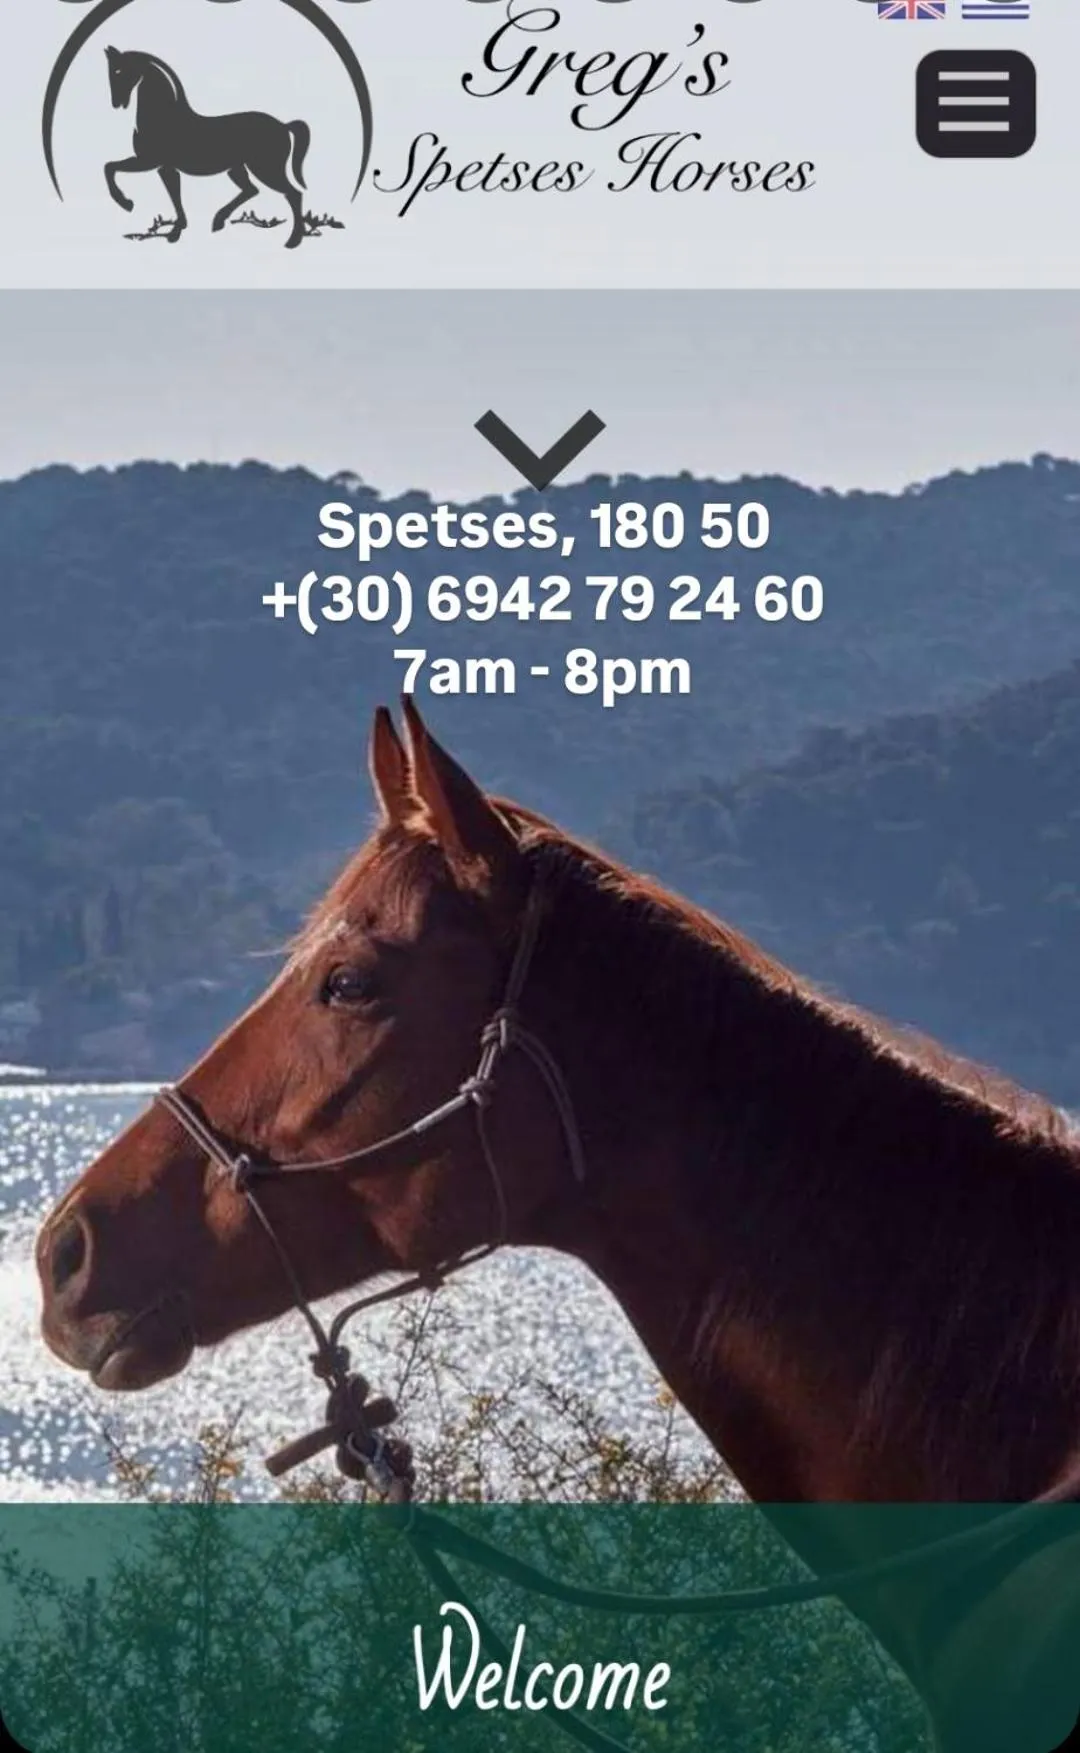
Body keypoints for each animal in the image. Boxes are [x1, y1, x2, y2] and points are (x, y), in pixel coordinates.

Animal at [104, 47, 310, 248]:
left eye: (120, 70)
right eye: (111, 71)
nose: (116, 102)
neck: (164, 117)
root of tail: (283, 126)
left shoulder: (150, 161)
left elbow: (110, 167)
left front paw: (126, 204)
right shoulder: (163, 167)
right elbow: (172, 194)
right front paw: (175, 230)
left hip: (266, 169)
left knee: (293, 194)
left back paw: (293, 241)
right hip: (237, 169)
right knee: (251, 190)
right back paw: (218, 221)